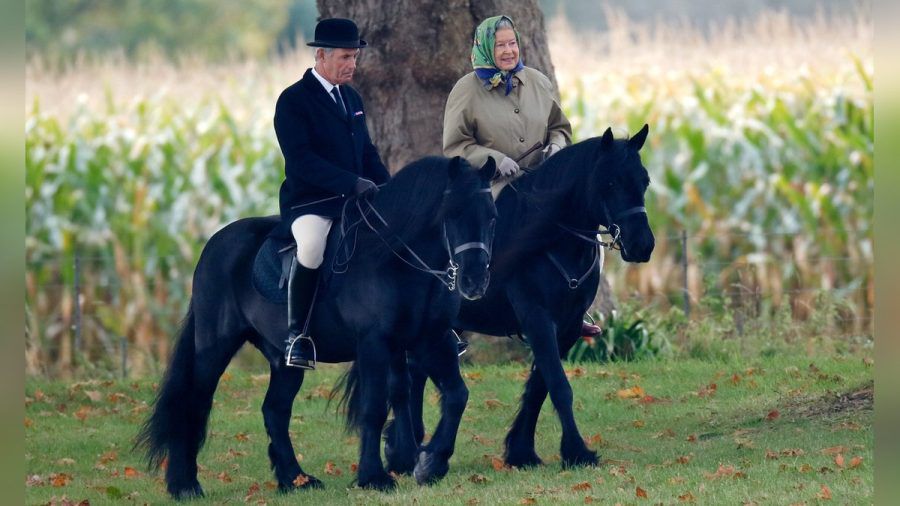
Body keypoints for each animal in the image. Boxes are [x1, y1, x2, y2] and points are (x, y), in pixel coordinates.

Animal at [137, 155, 496, 498]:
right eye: (452, 213)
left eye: (492, 216)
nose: (475, 282)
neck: (396, 257)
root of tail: (214, 243)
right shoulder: (374, 343)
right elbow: (374, 407)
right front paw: (374, 477)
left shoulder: (431, 339)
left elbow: (452, 395)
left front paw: (428, 463)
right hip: (214, 347)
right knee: (194, 403)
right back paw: (185, 485)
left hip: (283, 358)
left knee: (275, 410)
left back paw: (295, 480)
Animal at [390, 125, 656, 470]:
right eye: (609, 182)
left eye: (644, 180)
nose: (642, 245)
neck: (551, 241)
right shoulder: (537, 317)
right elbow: (558, 385)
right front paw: (578, 451)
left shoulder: (568, 326)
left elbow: (540, 386)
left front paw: (521, 451)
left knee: (417, 370)